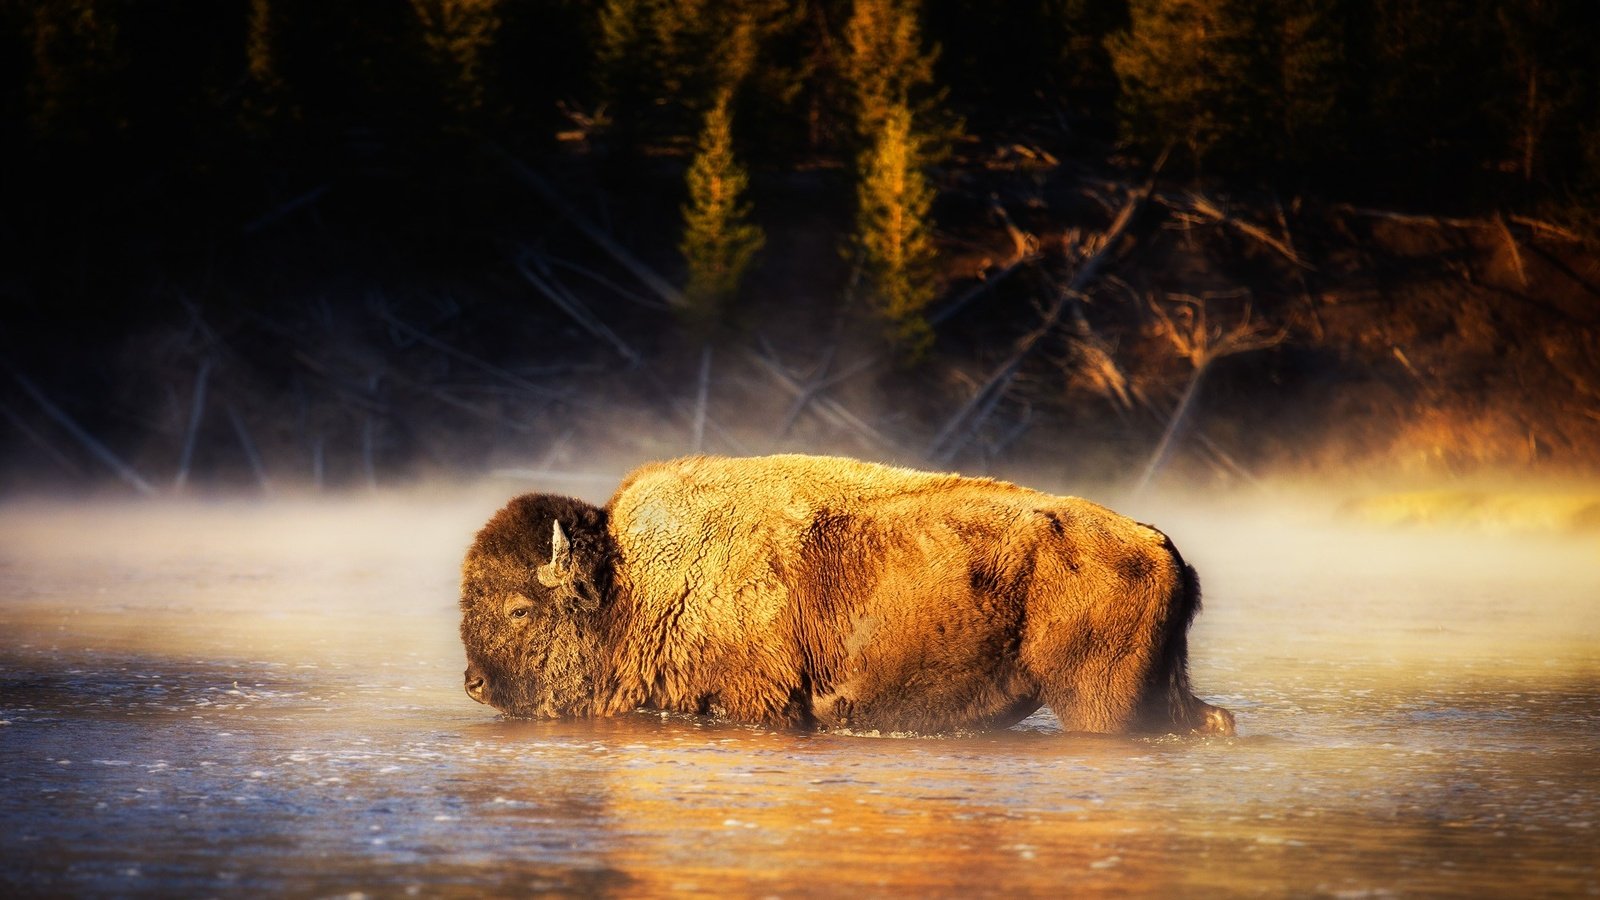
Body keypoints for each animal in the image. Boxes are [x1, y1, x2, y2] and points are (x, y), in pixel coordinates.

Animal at [464, 451, 1235, 733]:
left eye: (520, 608)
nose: (474, 683)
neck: (629, 584)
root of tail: (1156, 545)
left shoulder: (758, 704)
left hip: (1099, 704)